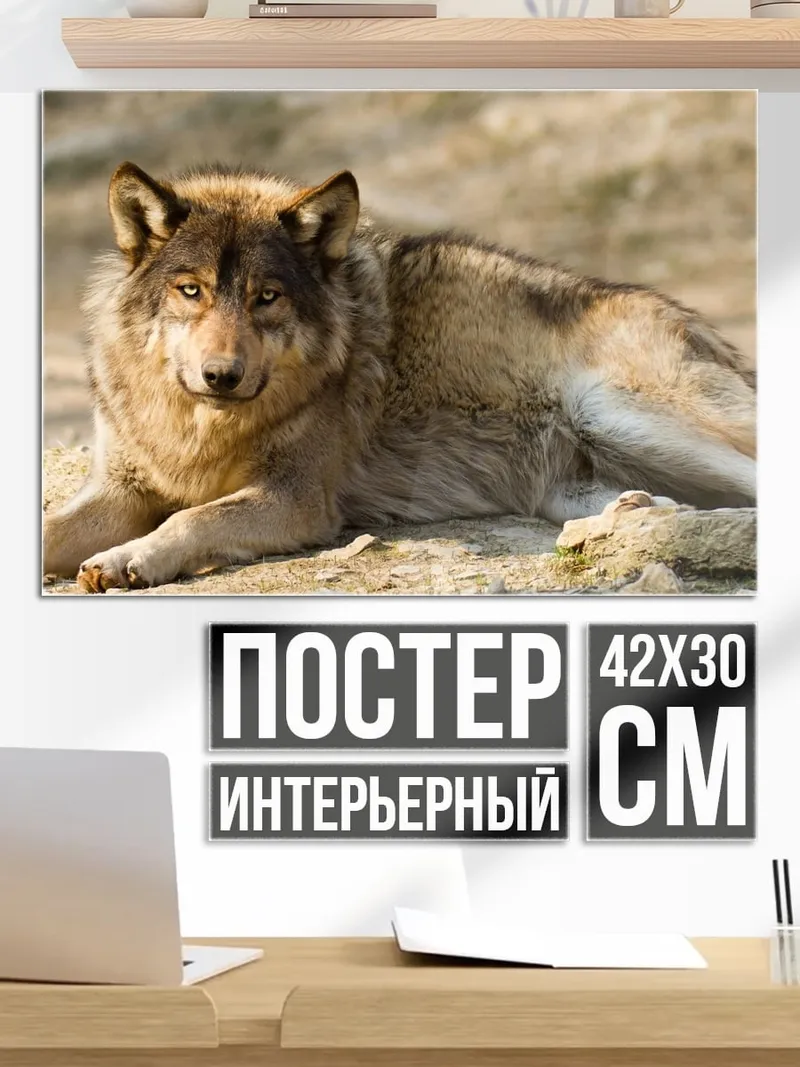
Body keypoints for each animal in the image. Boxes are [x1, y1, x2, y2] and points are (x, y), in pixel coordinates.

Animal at [43, 162, 756, 592]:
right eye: (191, 290)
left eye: (267, 297)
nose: (222, 375)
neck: (197, 430)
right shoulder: (121, 488)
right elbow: (52, 528)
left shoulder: (297, 499)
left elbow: (191, 520)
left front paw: (127, 559)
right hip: (567, 486)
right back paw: (638, 512)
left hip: (617, 410)